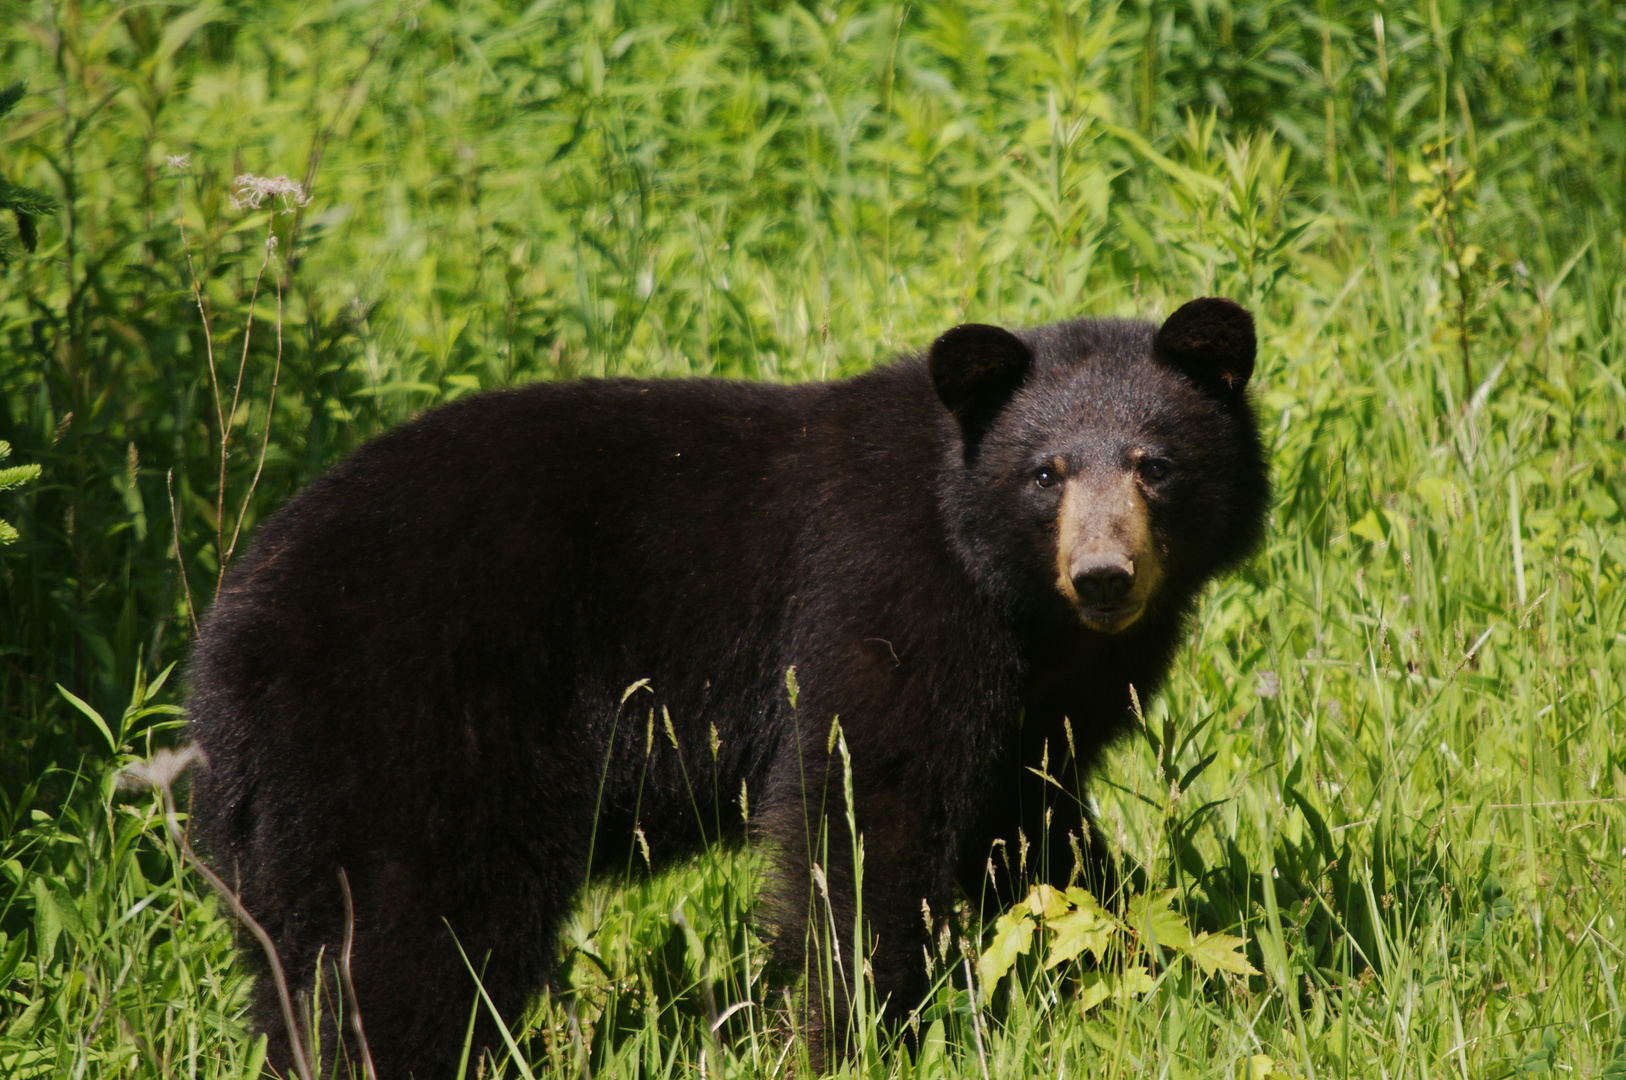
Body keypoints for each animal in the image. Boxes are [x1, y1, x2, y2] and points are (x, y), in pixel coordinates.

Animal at [184, 297, 1261, 1080]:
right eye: (1046, 472)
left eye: (1155, 464)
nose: (1104, 577)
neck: (1001, 585)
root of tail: (225, 654)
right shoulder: (883, 593)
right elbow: (863, 806)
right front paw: (844, 1034)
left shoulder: (1041, 693)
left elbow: (1031, 824)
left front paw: (1149, 959)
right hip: (413, 734)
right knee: (414, 944)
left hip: (289, 821)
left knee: (296, 963)